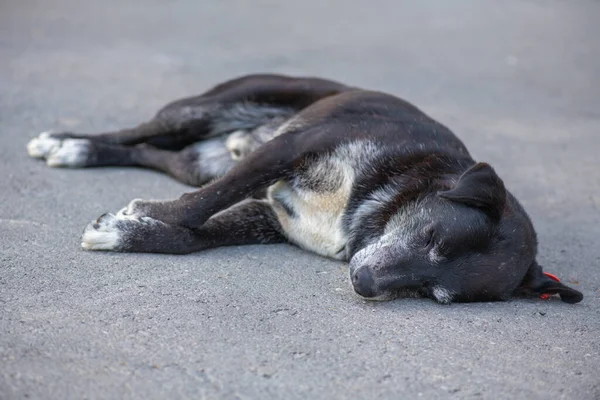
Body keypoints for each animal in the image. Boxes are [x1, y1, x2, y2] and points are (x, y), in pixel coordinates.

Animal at [27, 73, 580, 304]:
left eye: (434, 293)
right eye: (431, 238)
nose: (364, 284)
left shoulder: (269, 217)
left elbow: (192, 237)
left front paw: (129, 231)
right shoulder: (290, 148)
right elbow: (202, 207)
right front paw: (144, 214)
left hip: (197, 160)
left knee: (154, 154)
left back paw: (85, 152)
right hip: (207, 109)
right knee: (139, 133)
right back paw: (69, 144)